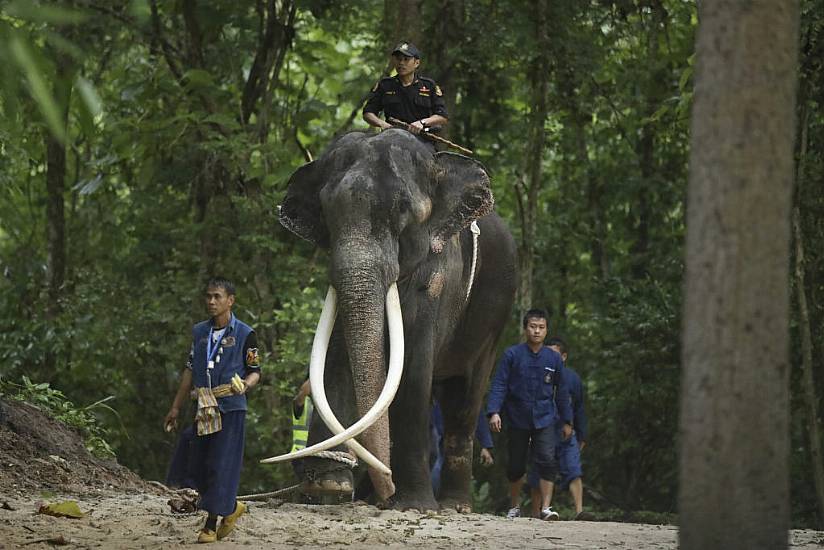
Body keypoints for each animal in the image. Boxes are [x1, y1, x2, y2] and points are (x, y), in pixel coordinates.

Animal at [268, 129, 516, 512]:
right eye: (326, 211)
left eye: (402, 209)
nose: (385, 488)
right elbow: (334, 359)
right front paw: (330, 485)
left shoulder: (439, 275)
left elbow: (413, 367)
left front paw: (413, 505)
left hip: (494, 319)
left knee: (464, 399)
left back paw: (452, 505)